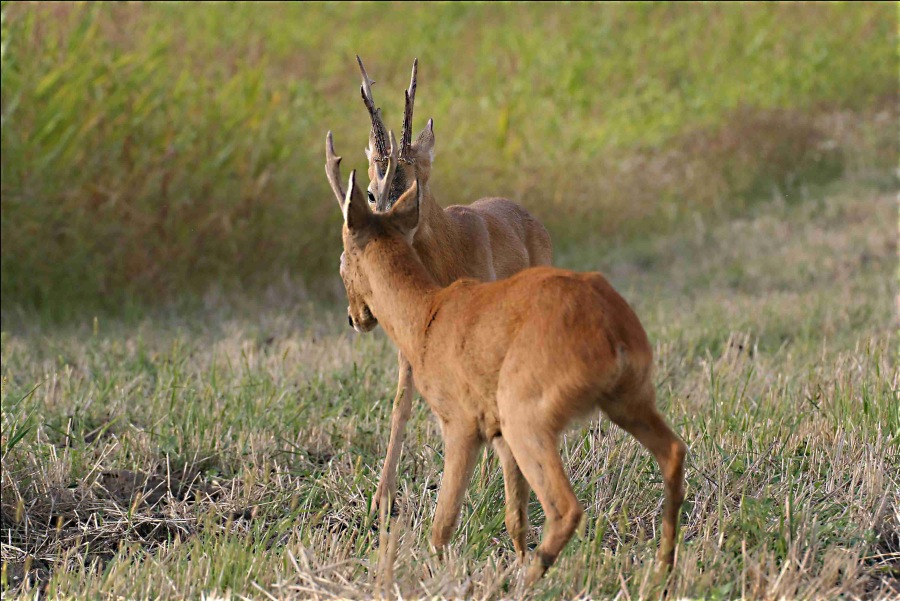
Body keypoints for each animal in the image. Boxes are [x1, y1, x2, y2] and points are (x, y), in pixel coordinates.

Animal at [325, 57, 553, 516]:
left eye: (415, 185)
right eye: (371, 193)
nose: (384, 233)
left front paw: (483, 488)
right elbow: (401, 405)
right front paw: (381, 499)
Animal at [327, 153, 687, 585]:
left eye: (343, 258)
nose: (354, 318)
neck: (428, 314)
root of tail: (611, 331)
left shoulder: (461, 424)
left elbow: (442, 524)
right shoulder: (497, 433)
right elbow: (515, 517)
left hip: (528, 419)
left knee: (566, 508)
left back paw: (527, 583)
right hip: (627, 401)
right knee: (673, 452)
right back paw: (662, 570)